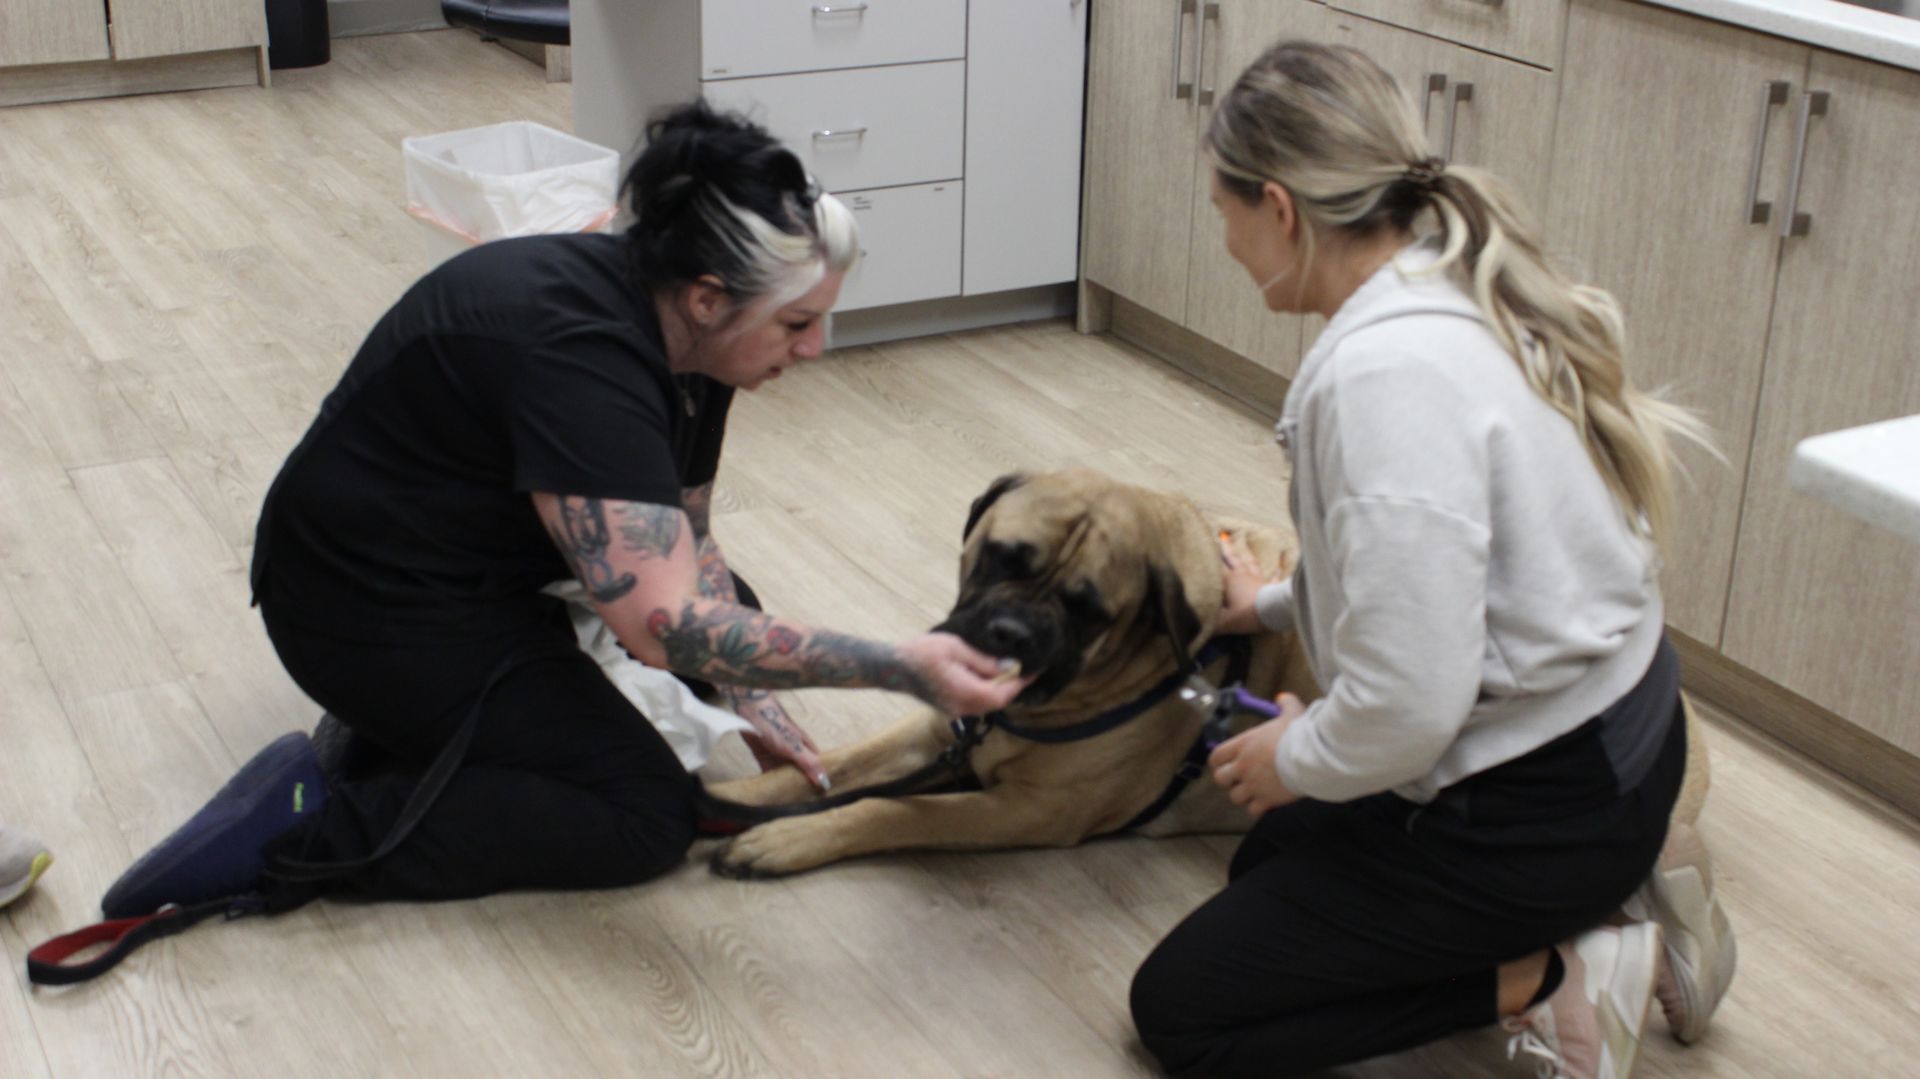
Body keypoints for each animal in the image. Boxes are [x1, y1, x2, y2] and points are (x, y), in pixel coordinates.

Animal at [710, 466, 1712, 879]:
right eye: (1001, 554)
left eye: (1088, 608)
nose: (1007, 631)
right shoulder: (939, 725)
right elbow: (834, 769)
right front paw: (739, 799)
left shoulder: (1025, 812)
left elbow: (894, 809)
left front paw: (785, 841)